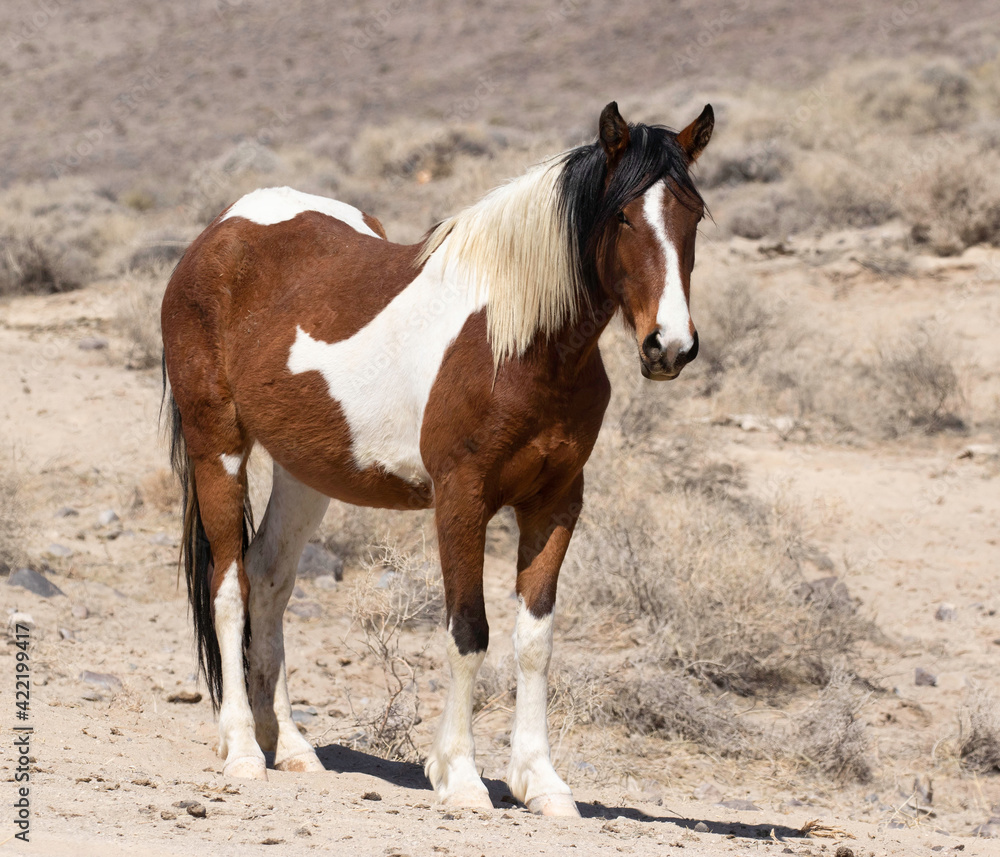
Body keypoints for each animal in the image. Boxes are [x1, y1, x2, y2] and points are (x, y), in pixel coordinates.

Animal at [161, 100, 713, 817]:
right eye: (621, 215)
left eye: (692, 216)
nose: (668, 346)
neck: (516, 344)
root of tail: (222, 229)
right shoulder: (462, 496)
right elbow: (469, 630)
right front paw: (459, 776)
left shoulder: (556, 502)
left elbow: (534, 640)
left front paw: (541, 782)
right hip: (218, 448)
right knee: (229, 584)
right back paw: (243, 752)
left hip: (304, 473)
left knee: (269, 579)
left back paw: (292, 747)